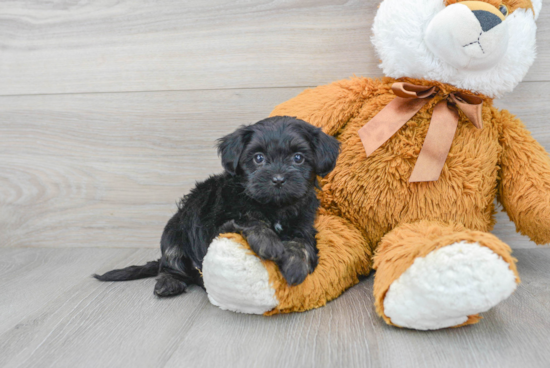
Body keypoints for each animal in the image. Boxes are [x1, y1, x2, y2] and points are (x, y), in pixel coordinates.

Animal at [95, 116, 340, 298]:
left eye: (298, 158)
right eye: (258, 158)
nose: (278, 179)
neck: (274, 207)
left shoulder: (304, 225)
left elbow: (302, 242)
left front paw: (295, 266)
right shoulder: (219, 226)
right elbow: (249, 218)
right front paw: (269, 243)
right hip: (174, 232)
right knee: (169, 263)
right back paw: (169, 283)